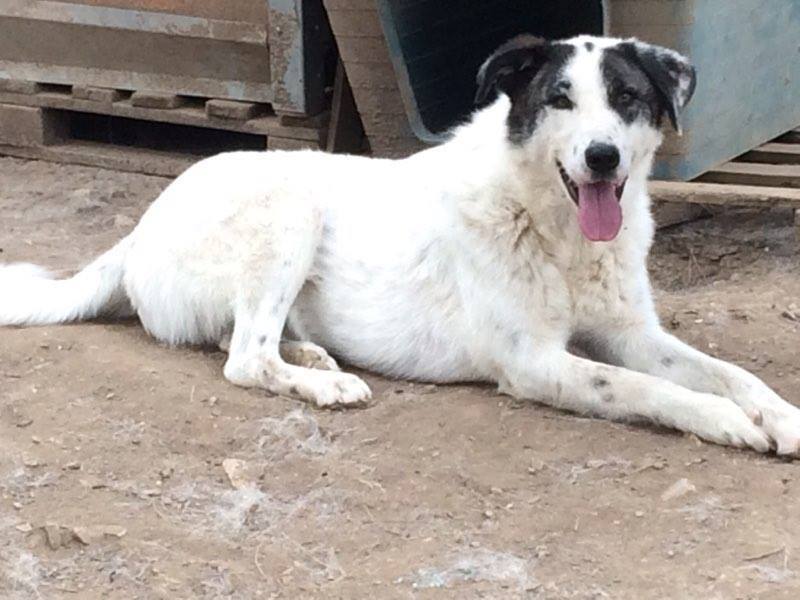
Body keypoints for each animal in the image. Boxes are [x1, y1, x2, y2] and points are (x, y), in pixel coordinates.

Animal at [1, 34, 800, 454]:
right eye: (559, 100)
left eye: (628, 98)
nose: (602, 158)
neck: (556, 229)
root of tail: (138, 229)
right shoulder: (534, 362)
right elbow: (646, 388)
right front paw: (727, 423)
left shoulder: (634, 333)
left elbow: (728, 372)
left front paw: (780, 415)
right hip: (290, 203)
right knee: (244, 359)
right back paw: (322, 382)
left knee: (244, 339)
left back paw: (313, 355)